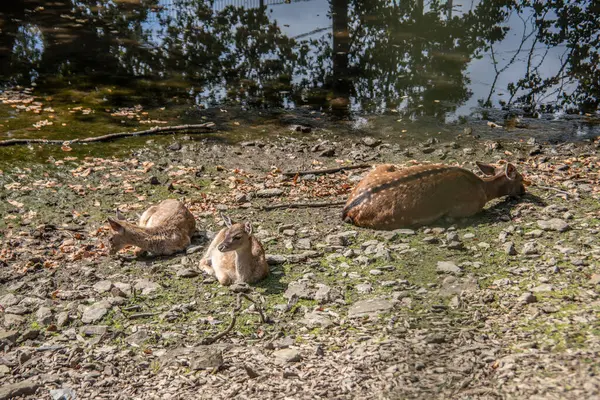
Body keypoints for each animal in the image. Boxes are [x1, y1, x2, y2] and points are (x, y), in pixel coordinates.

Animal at [342, 161, 528, 230]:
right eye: (521, 178)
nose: (524, 191)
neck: (483, 189)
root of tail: (348, 209)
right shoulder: (464, 208)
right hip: (391, 219)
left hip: (382, 167)